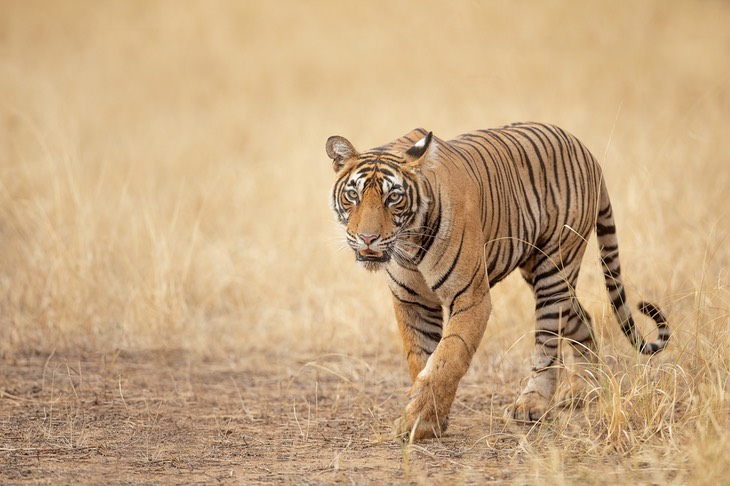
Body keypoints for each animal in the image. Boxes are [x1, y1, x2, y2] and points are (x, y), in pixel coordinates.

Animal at [328, 121, 668, 440]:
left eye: (394, 198)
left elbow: (447, 358)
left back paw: (531, 405)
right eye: (353, 195)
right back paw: (582, 391)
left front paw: (420, 421)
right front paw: (429, 417)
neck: (409, 243)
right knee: (582, 318)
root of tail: (585, 149)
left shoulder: (470, 297)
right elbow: (420, 357)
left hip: (555, 267)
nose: (367, 238)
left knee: (548, 339)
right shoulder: (411, 300)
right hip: (540, 272)